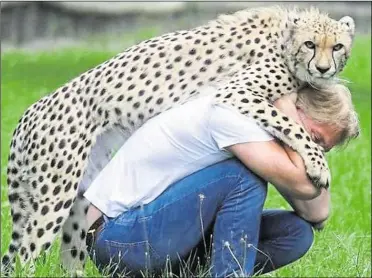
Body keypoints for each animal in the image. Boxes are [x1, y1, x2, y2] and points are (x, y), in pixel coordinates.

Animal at [2, 5, 354, 274]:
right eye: (310, 44)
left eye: (337, 47)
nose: (324, 69)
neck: (284, 39)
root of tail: (28, 112)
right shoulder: (236, 92)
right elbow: (291, 125)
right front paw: (319, 166)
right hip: (53, 200)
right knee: (23, 256)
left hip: (77, 203)